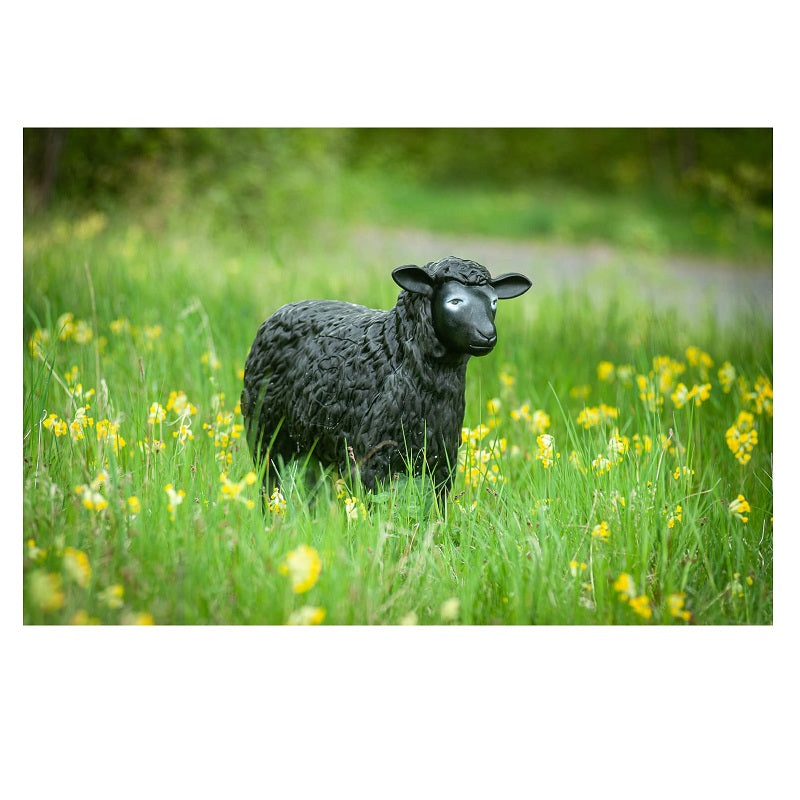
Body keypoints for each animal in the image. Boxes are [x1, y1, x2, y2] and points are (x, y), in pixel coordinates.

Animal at [240, 256, 532, 501]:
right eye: (455, 301)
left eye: (494, 302)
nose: (488, 336)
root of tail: (283, 309)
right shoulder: (371, 457)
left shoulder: (442, 458)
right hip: (265, 429)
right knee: (269, 481)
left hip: (315, 440)